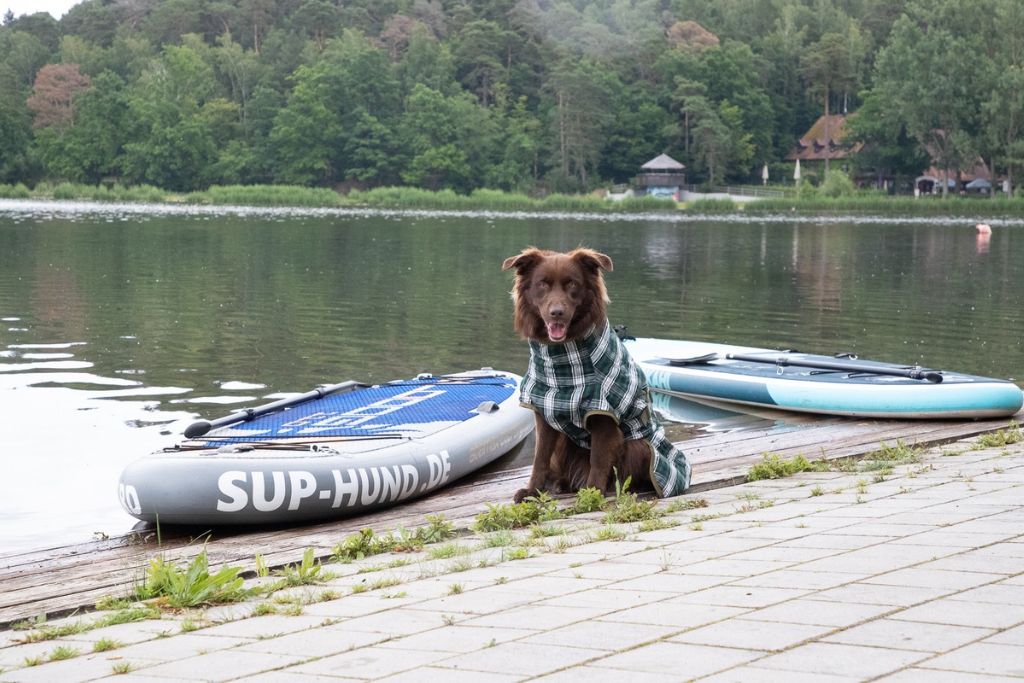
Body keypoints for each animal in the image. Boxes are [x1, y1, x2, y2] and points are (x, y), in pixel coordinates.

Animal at [501, 248, 692, 505]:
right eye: (542, 284)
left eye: (572, 284)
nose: (557, 313)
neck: (561, 359)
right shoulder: (544, 408)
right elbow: (540, 457)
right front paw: (533, 491)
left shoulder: (604, 415)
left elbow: (599, 459)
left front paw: (592, 493)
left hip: (639, 443)